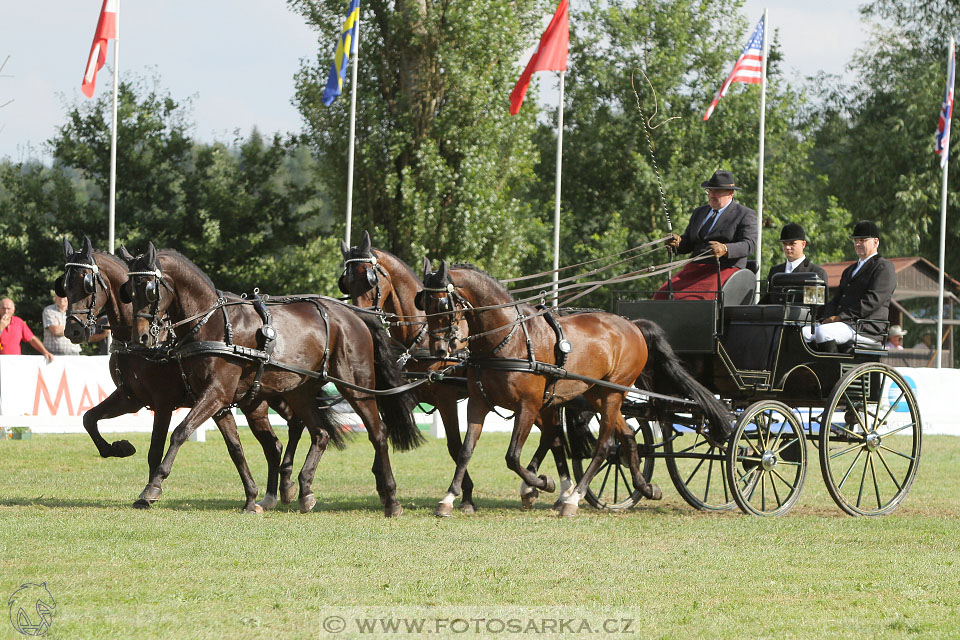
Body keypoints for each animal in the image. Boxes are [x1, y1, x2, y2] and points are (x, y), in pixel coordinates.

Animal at [54, 238, 308, 512]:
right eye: (64, 285)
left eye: (87, 283)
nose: (73, 331)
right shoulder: (130, 397)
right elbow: (89, 418)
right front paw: (118, 448)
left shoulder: (163, 402)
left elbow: (157, 448)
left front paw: (151, 490)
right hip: (256, 402)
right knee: (274, 443)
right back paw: (272, 493)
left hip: (279, 394)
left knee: (297, 424)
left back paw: (288, 485)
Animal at [122, 242, 422, 516]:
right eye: (128, 290)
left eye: (149, 289)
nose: (141, 337)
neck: (212, 323)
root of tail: (354, 315)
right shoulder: (219, 402)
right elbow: (235, 448)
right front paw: (251, 498)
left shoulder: (216, 393)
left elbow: (180, 432)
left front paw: (152, 488)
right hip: (299, 392)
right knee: (320, 433)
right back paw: (305, 490)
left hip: (356, 387)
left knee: (377, 433)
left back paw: (391, 499)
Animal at [340, 232, 568, 512]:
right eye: (346, 283)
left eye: (369, 277)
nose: (360, 317)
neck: (420, 336)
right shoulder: (407, 393)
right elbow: (385, 428)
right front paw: (384, 488)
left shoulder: (446, 399)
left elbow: (454, 446)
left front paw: (465, 495)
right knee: (553, 436)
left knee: (553, 435)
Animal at [416, 260, 732, 516]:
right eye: (423, 303)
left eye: (442, 304)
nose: (439, 350)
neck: (510, 339)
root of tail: (633, 326)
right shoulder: (478, 403)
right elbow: (466, 450)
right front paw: (449, 498)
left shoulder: (529, 405)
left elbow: (512, 456)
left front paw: (542, 483)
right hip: (597, 395)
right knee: (627, 437)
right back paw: (644, 487)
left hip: (613, 393)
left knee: (604, 445)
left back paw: (573, 498)